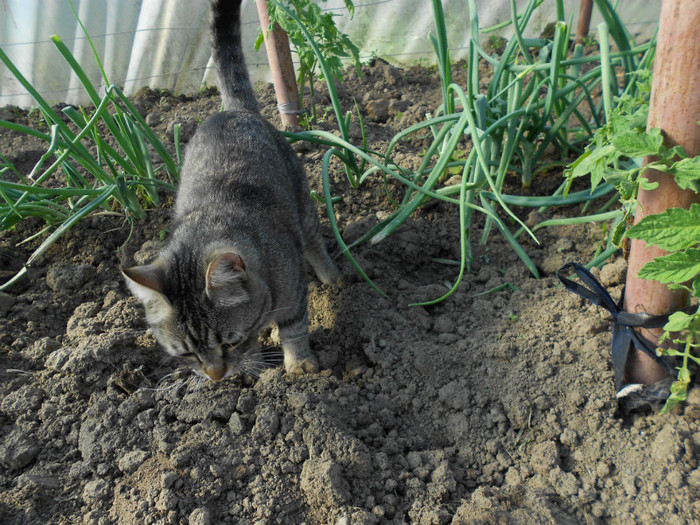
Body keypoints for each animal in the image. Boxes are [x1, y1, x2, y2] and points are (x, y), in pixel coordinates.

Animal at [123, 0, 342, 380]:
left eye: (228, 341)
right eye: (187, 353)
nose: (214, 377)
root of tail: (234, 110)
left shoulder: (292, 293)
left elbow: (294, 328)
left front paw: (298, 363)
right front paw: (253, 367)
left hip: (302, 200)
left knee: (314, 241)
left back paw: (332, 276)